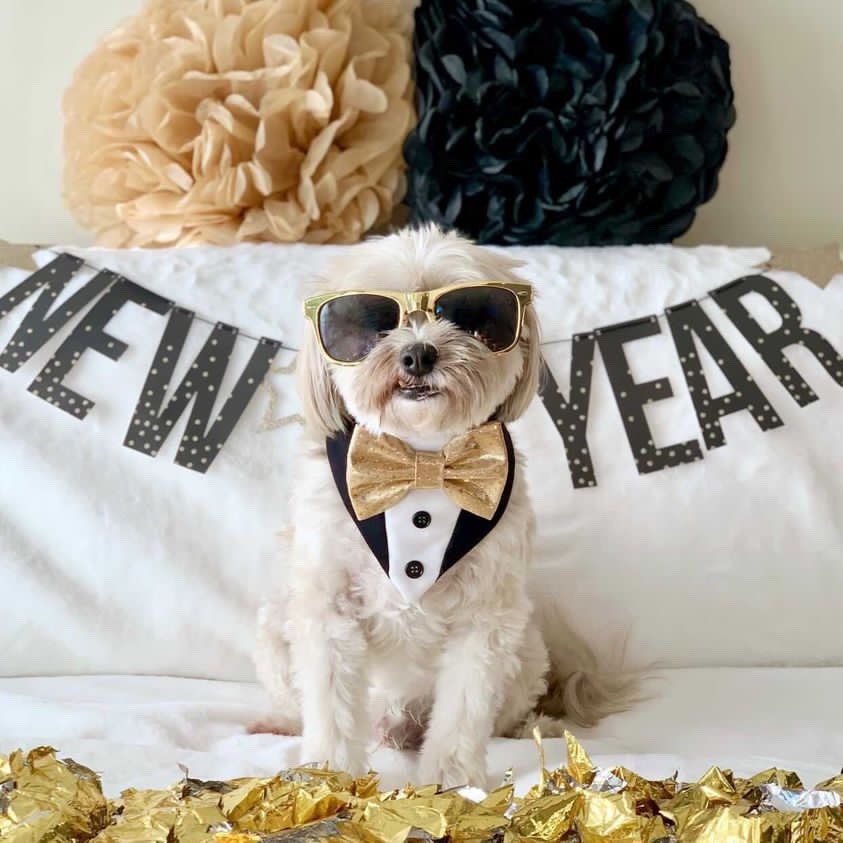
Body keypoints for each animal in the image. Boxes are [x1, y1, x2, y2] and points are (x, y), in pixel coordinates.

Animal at [256, 226, 632, 792]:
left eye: (471, 317)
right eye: (370, 323)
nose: (417, 354)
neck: (423, 461)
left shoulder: (486, 618)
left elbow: (463, 712)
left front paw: (452, 783)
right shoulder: (328, 609)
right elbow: (331, 707)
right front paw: (328, 782)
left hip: (526, 652)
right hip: (275, 625)